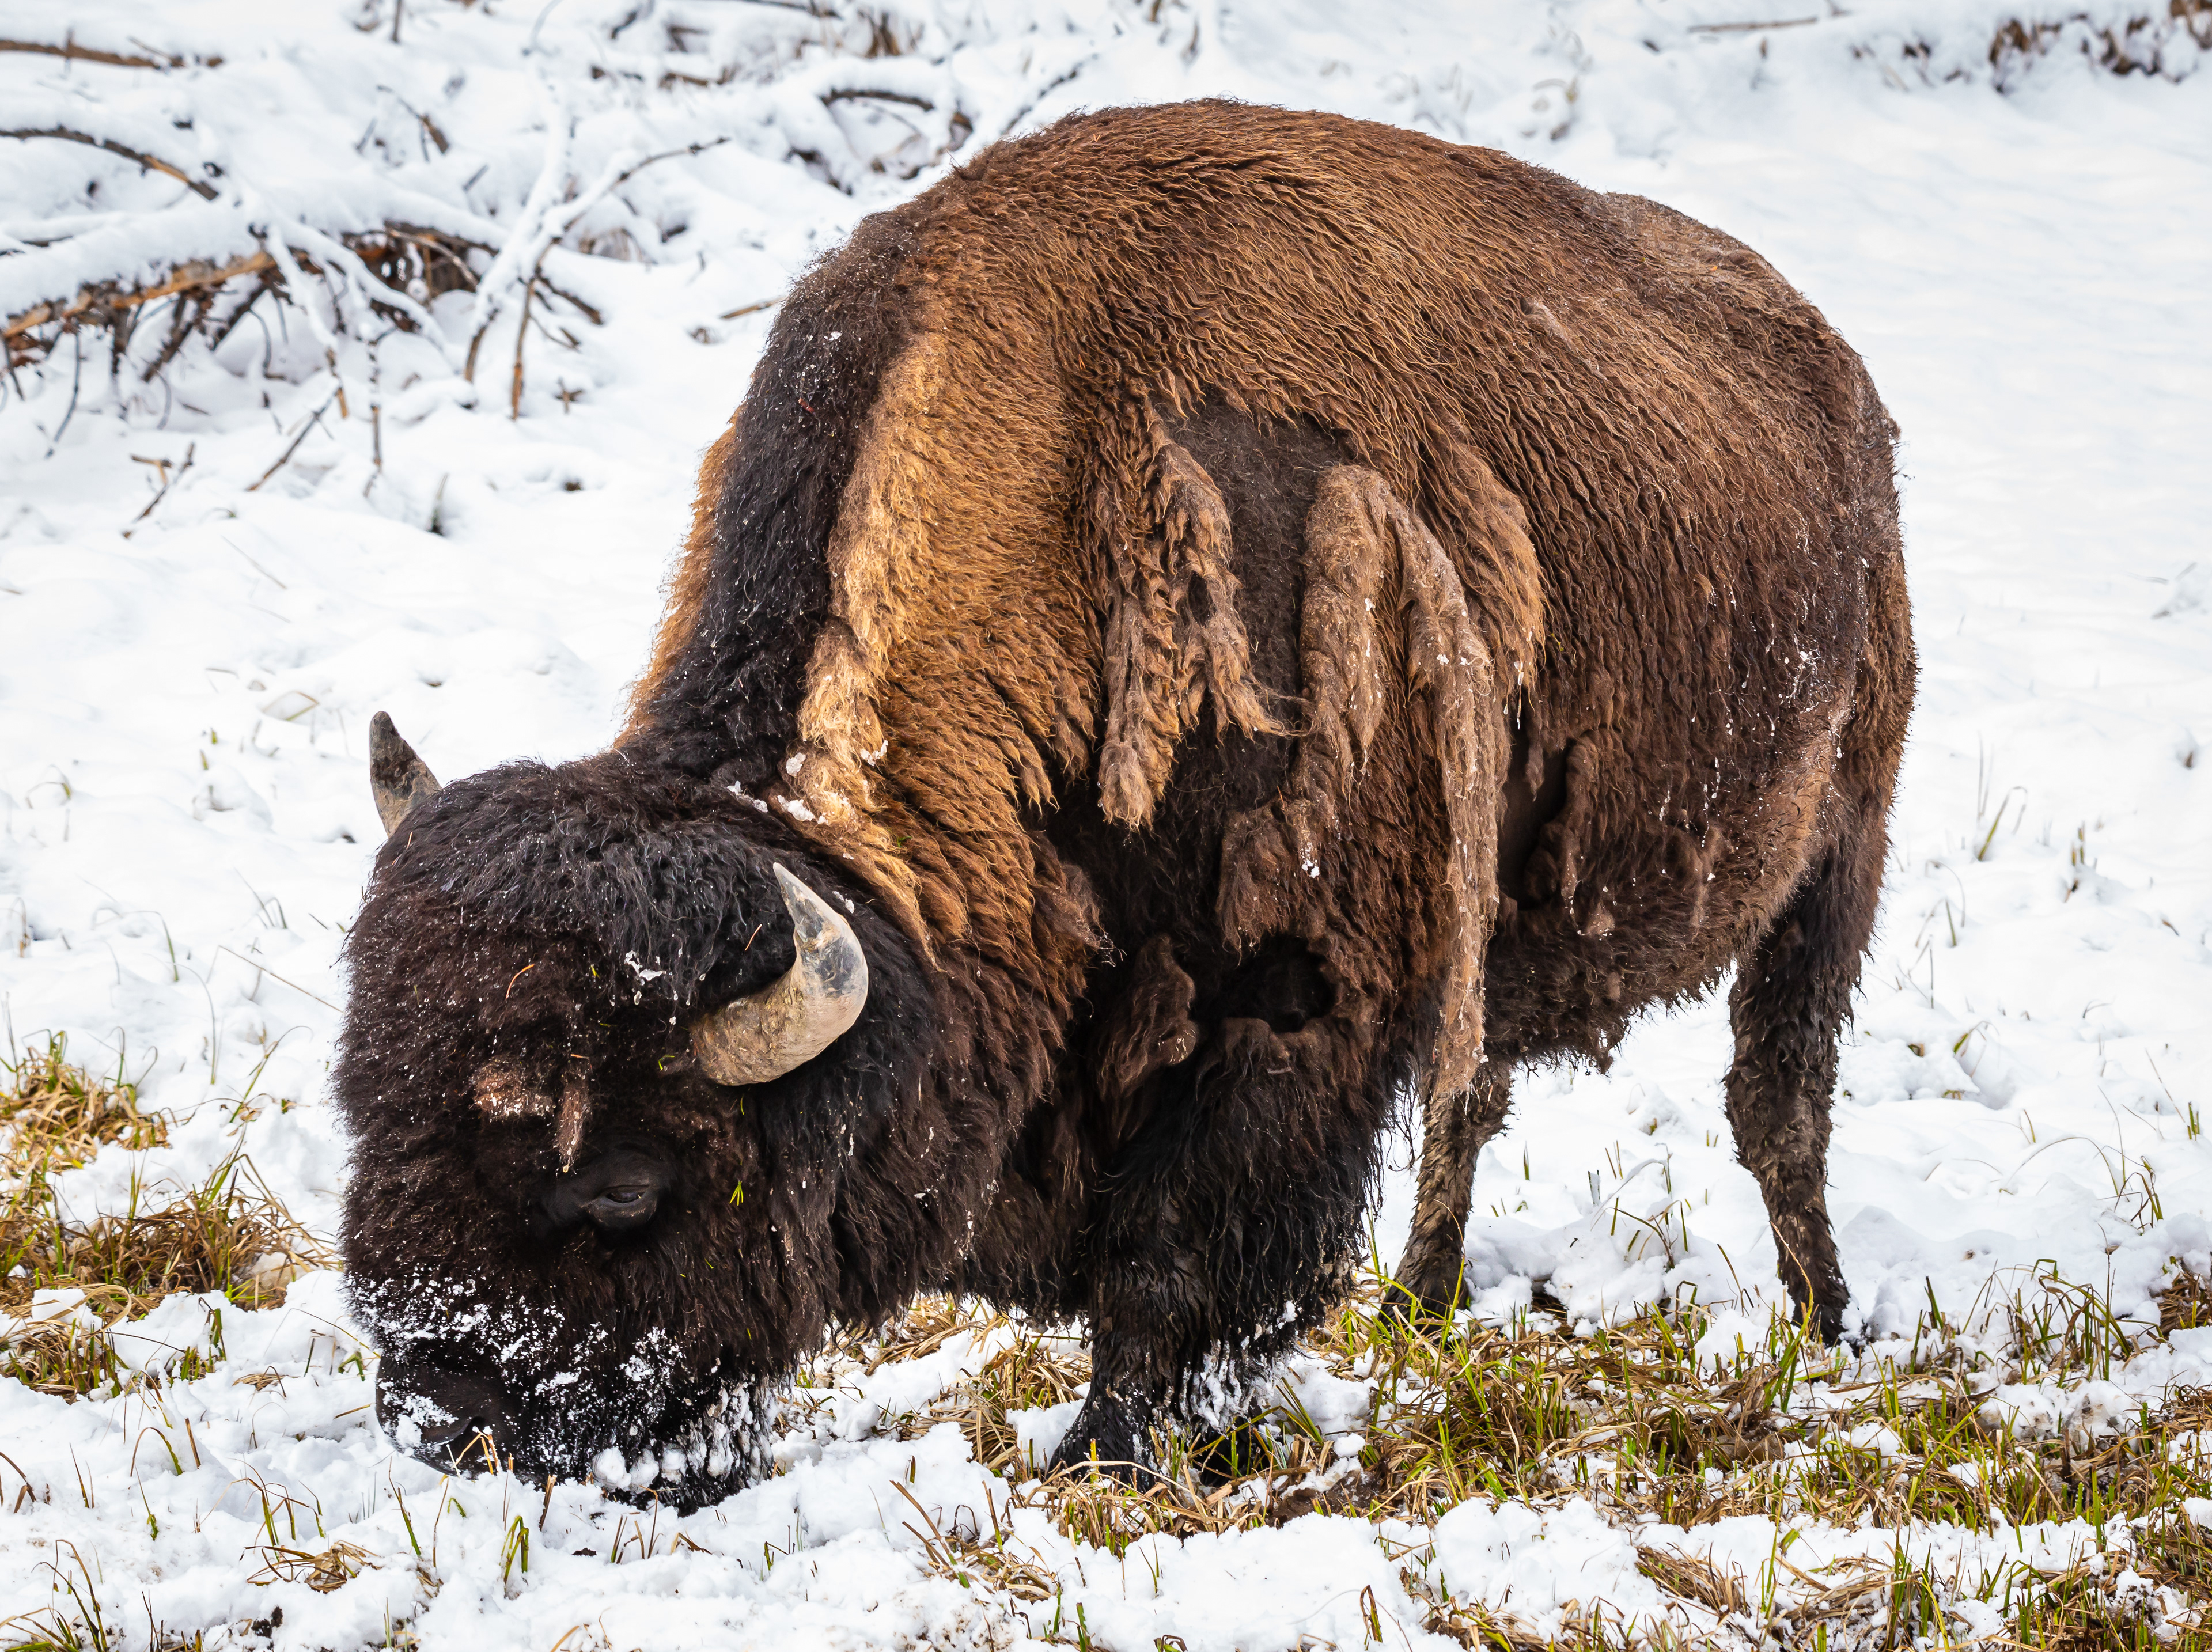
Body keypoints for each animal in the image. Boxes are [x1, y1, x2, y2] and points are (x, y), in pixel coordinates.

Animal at [339, 99, 1913, 1506]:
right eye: (362, 1117)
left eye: (621, 1185)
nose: (447, 1415)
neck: (1056, 468)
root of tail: (1828, 367)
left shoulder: (1283, 1005)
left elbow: (1171, 1258)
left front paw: (1110, 1456)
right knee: (1472, 1099)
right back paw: (1418, 1310)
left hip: (1841, 848)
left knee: (1778, 1098)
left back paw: (1823, 1322)